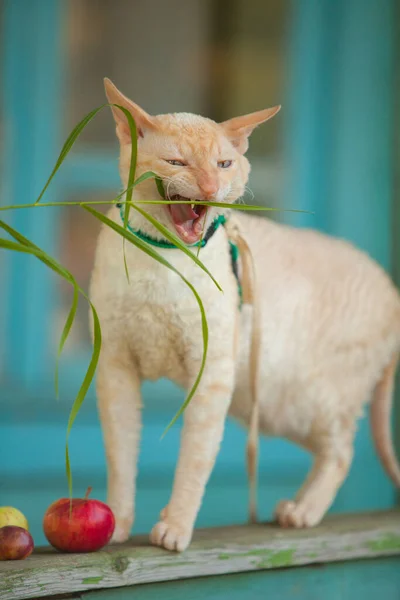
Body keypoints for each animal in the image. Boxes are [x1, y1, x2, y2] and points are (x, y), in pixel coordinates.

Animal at [89, 77, 400, 552]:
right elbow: (121, 456)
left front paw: (176, 528)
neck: (161, 259)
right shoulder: (115, 367)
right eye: (177, 162)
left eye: (224, 164)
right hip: (275, 402)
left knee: (342, 451)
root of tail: (390, 286)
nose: (210, 188)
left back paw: (302, 512)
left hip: (307, 397)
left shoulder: (211, 372)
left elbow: (194, 460)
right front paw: (118, 525)